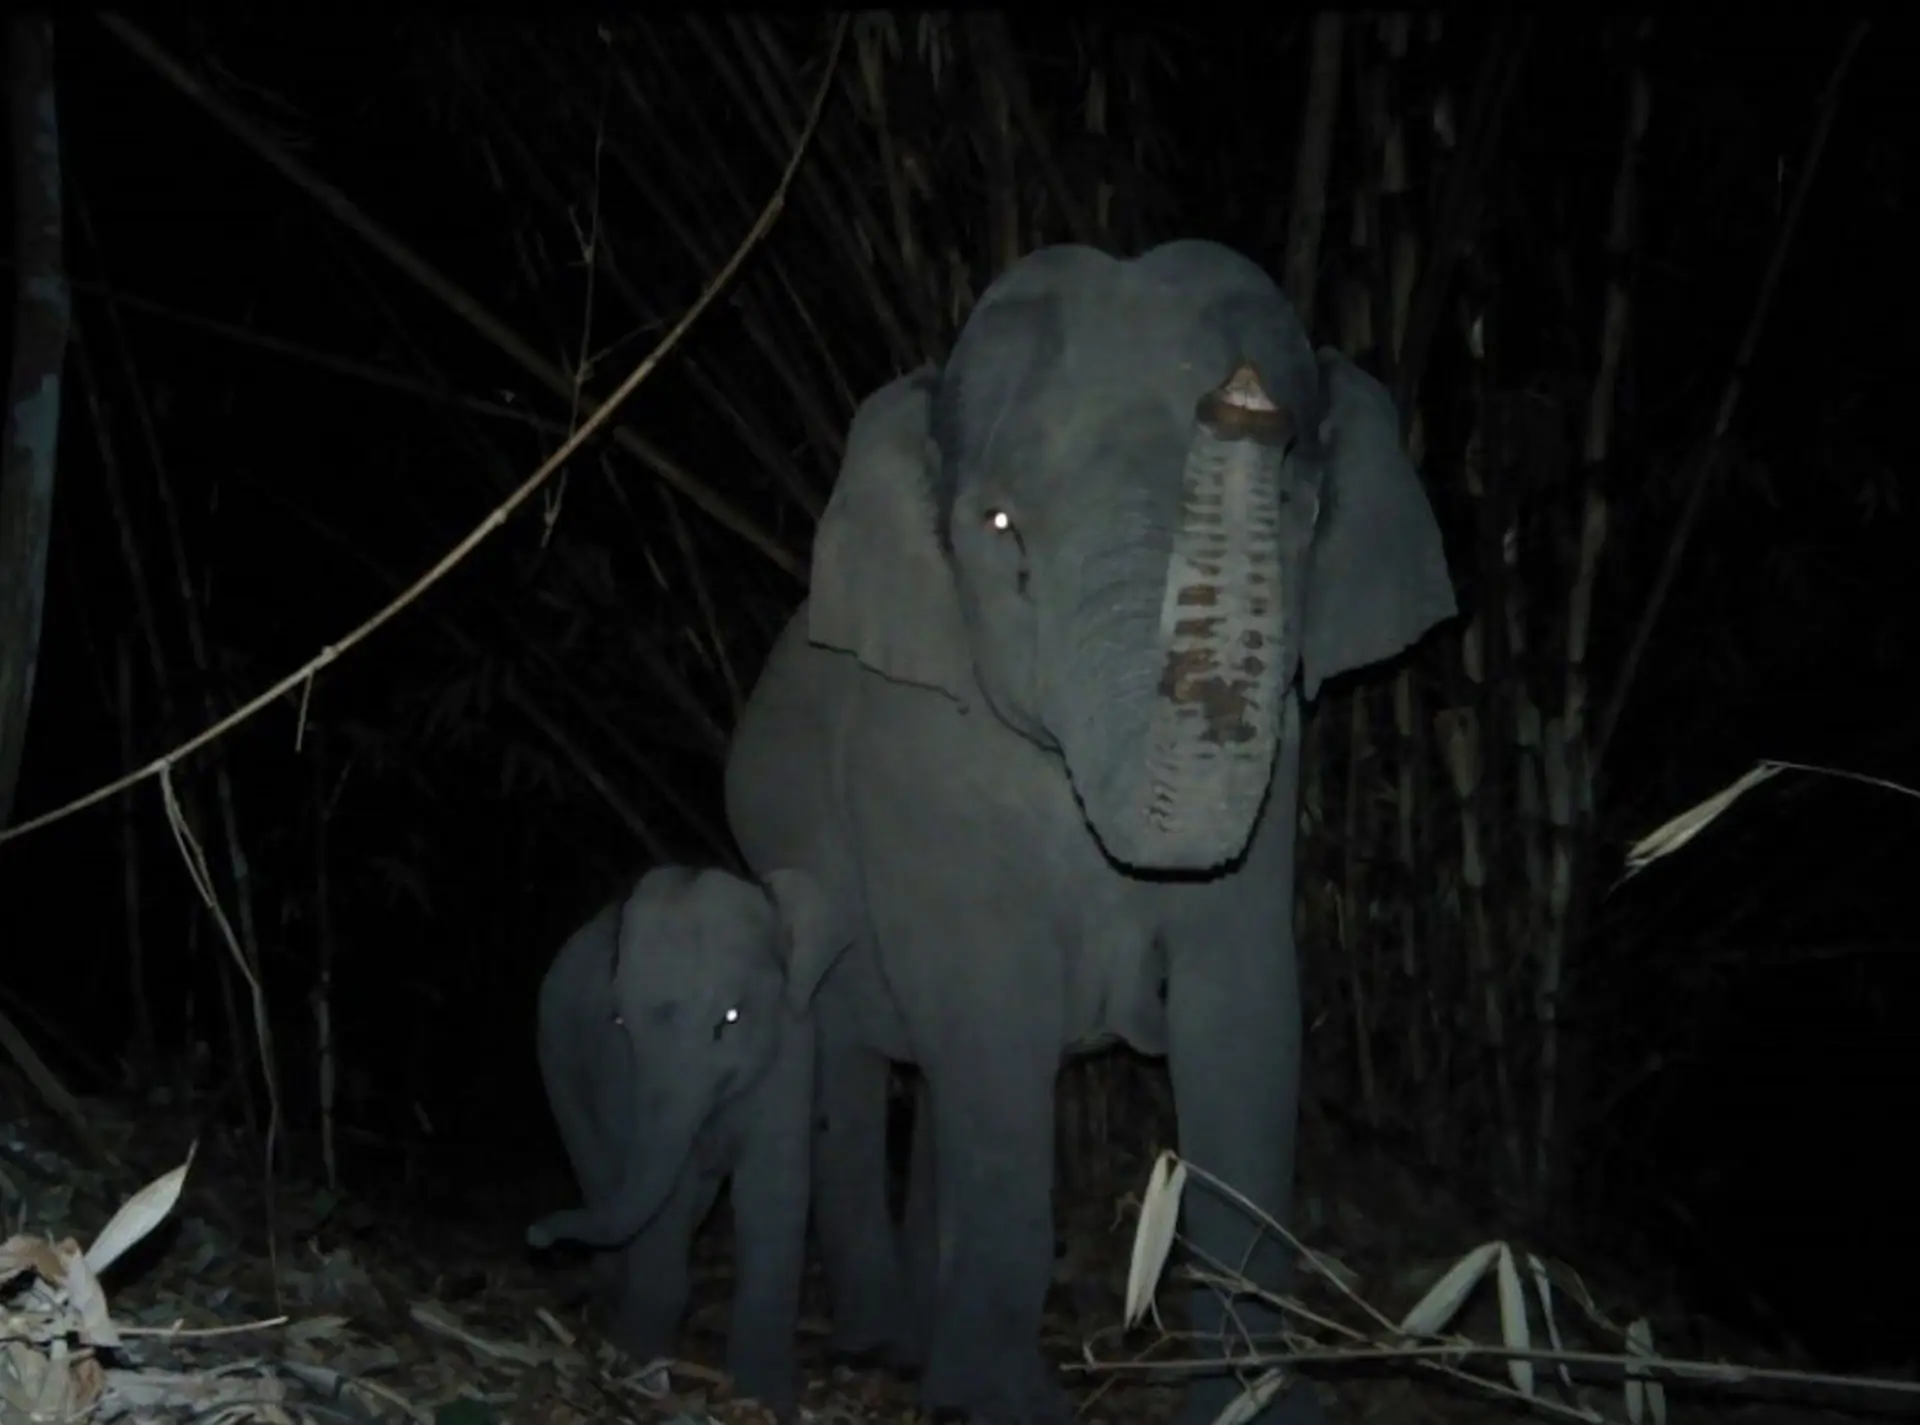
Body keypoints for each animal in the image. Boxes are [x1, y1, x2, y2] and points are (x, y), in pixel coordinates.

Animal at [525, 864, 849, 1413]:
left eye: (732, 1018)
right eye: (619, 1019)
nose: (537, 1236)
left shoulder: (793, 1047)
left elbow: (772, 1190)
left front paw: (766, 1398)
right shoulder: (620, 1066)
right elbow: (666, 1196)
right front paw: (640, 1359)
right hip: (557, 1059)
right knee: (601, 1169)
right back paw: (610, 1305)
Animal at [722, 239, 1457, 1425]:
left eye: (1293, 507)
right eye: (1000, 530)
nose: (1241, 398)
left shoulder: (1278, 766)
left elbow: (1245, 1012)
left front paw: (1257, 1398)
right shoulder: (915, 756)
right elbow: (992, 1012)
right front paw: (999, 1402)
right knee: (858, 1066)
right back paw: (886, 1346)